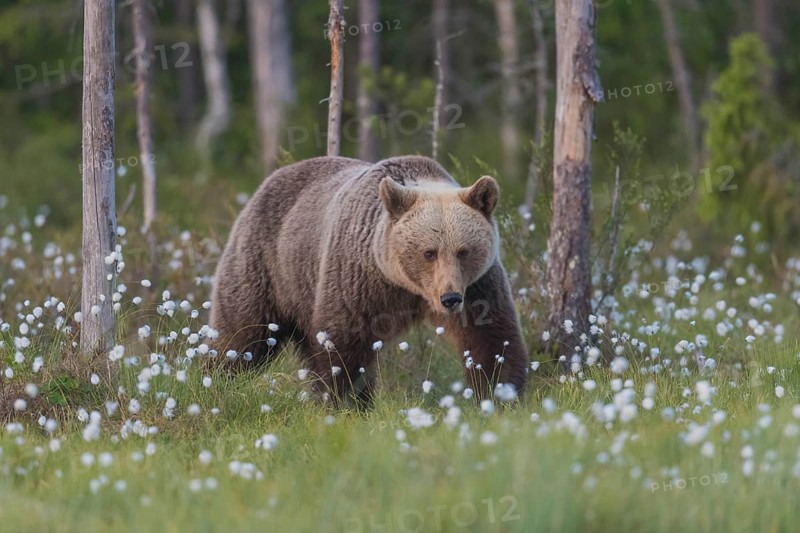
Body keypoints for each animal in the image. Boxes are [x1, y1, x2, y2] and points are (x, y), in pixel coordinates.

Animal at [210, 155, 528, 402]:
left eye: (463, 251)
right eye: (429, 252)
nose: (450, 299)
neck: (407, 286)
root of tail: (270, 179)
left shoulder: (477, 286)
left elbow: (491, 338)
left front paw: (500, 394)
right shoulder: (357, 277)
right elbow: (345, 345)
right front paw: (348, 402)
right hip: (267, 266)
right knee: (242, 333)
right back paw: (218, 379)